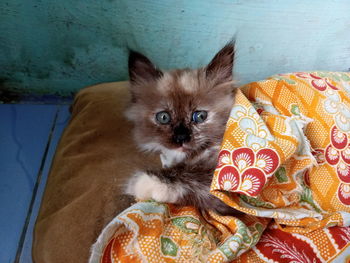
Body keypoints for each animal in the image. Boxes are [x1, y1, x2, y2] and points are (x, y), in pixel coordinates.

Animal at [125, 41, 238, 217]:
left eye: (200, 116)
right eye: (163, 117)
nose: (181, 138)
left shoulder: (231, 184)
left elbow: (190, 175)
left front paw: (144, 182)